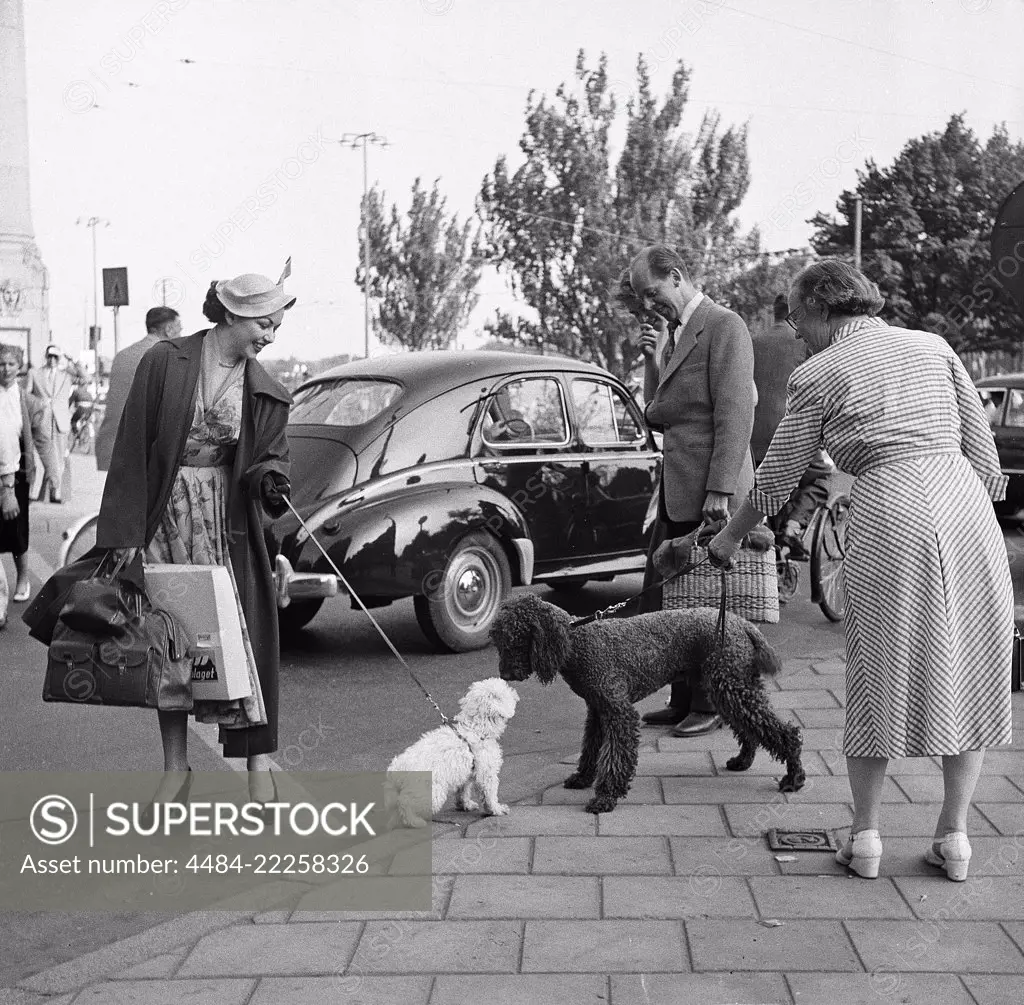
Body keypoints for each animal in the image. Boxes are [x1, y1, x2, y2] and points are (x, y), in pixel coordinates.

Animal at [387, 680, 524, 827]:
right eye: (505, 691)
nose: (515, 694)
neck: (476, 728)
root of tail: (398, 768)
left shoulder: (465, 773)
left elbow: (463, 791)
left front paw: (465, 805)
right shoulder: (486, 772)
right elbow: (489, 793)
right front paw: (496, 809)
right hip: (432, 792)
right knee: (405, 802)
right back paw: (415, 821)